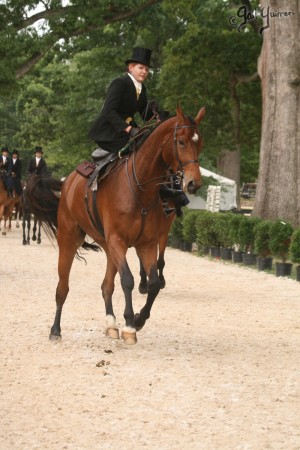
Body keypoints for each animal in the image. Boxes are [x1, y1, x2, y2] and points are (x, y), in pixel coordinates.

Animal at [25, 105, 205, 344]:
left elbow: (154, 283)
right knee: (63, 287)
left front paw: (139, 319)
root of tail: (68, 182)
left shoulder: (147, 243)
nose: (194, 183)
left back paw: (111, 324)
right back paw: (55, 329)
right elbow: (127, 280)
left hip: (109, 247)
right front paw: (129, 324)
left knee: (106, 286)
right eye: (182, 142)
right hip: (69, 240)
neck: (140, 188)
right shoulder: (119, 241)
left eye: (200, 143)